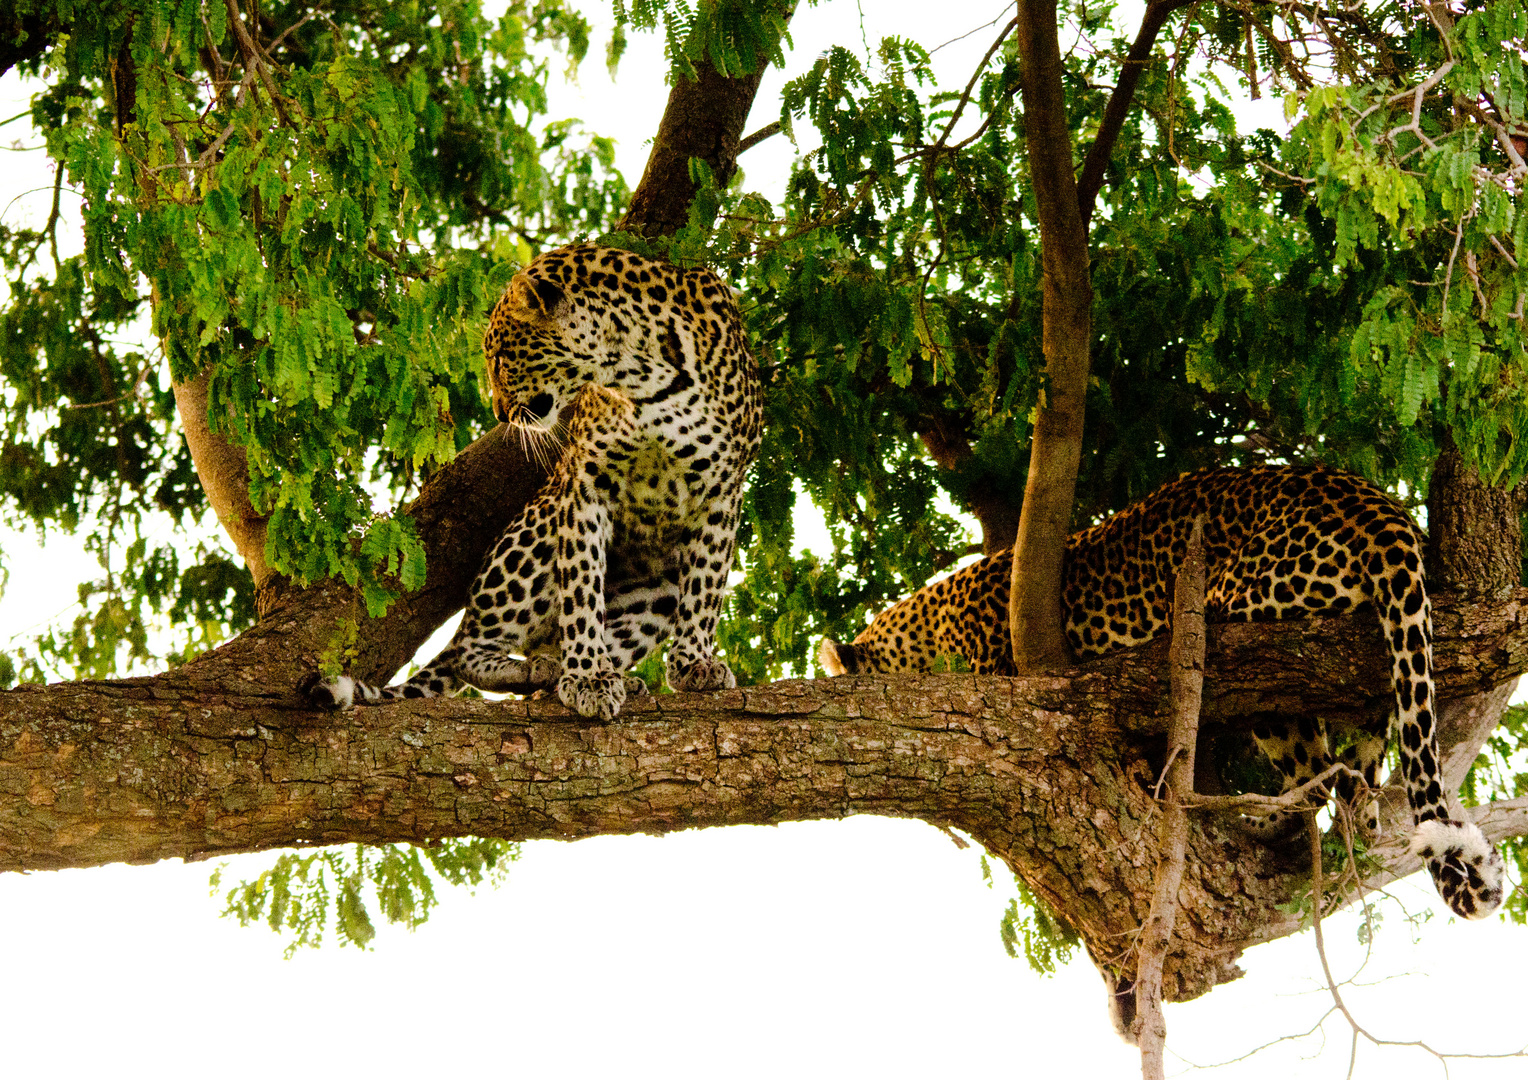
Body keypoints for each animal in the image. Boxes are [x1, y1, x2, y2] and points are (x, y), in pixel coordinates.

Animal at [311, 241, 764, 721]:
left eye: (500, 358)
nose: (498, 413)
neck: (642, 375)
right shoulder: (585, 484)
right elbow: (581, 591)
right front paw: (587, 677)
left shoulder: (722, 489)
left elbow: (705, 586)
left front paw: (695, 664)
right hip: (538, 529)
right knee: (468, 649)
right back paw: (544, 670)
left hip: (656, 593)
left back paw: (589, 675)